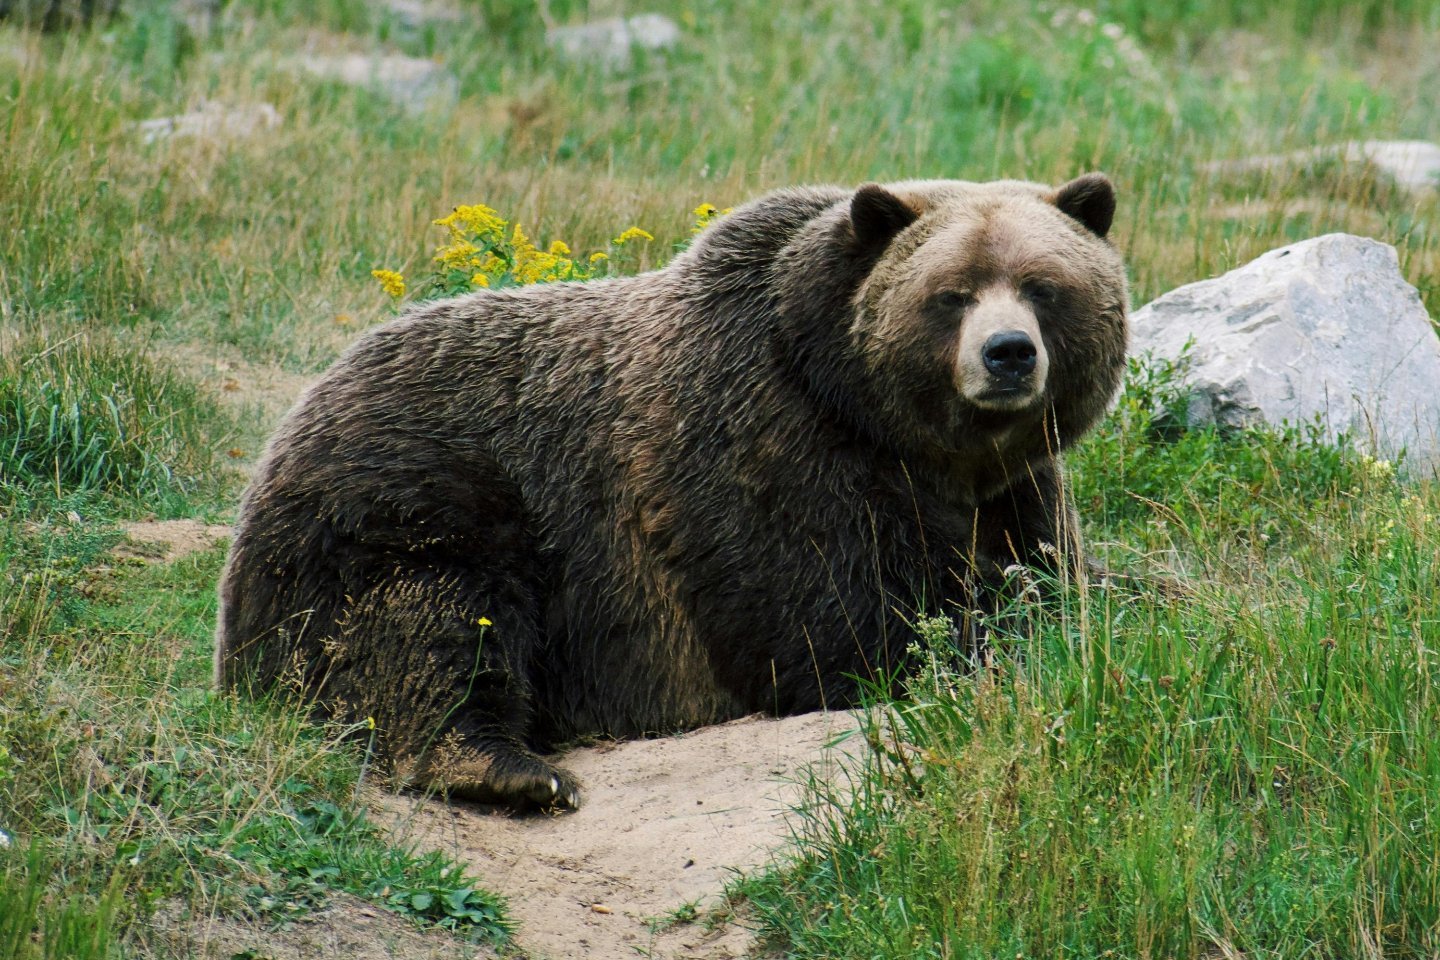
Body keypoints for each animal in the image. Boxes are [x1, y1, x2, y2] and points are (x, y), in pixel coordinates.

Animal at [218, 172, 1128, 811]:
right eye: (952, 294)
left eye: (1044, 285)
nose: (1008, 353)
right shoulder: (767, 449)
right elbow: (837, 624)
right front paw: (962, 644)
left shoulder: (1015, 492)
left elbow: (1052, 581)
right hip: (410, 498)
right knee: (431, 627)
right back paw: (515, 770)